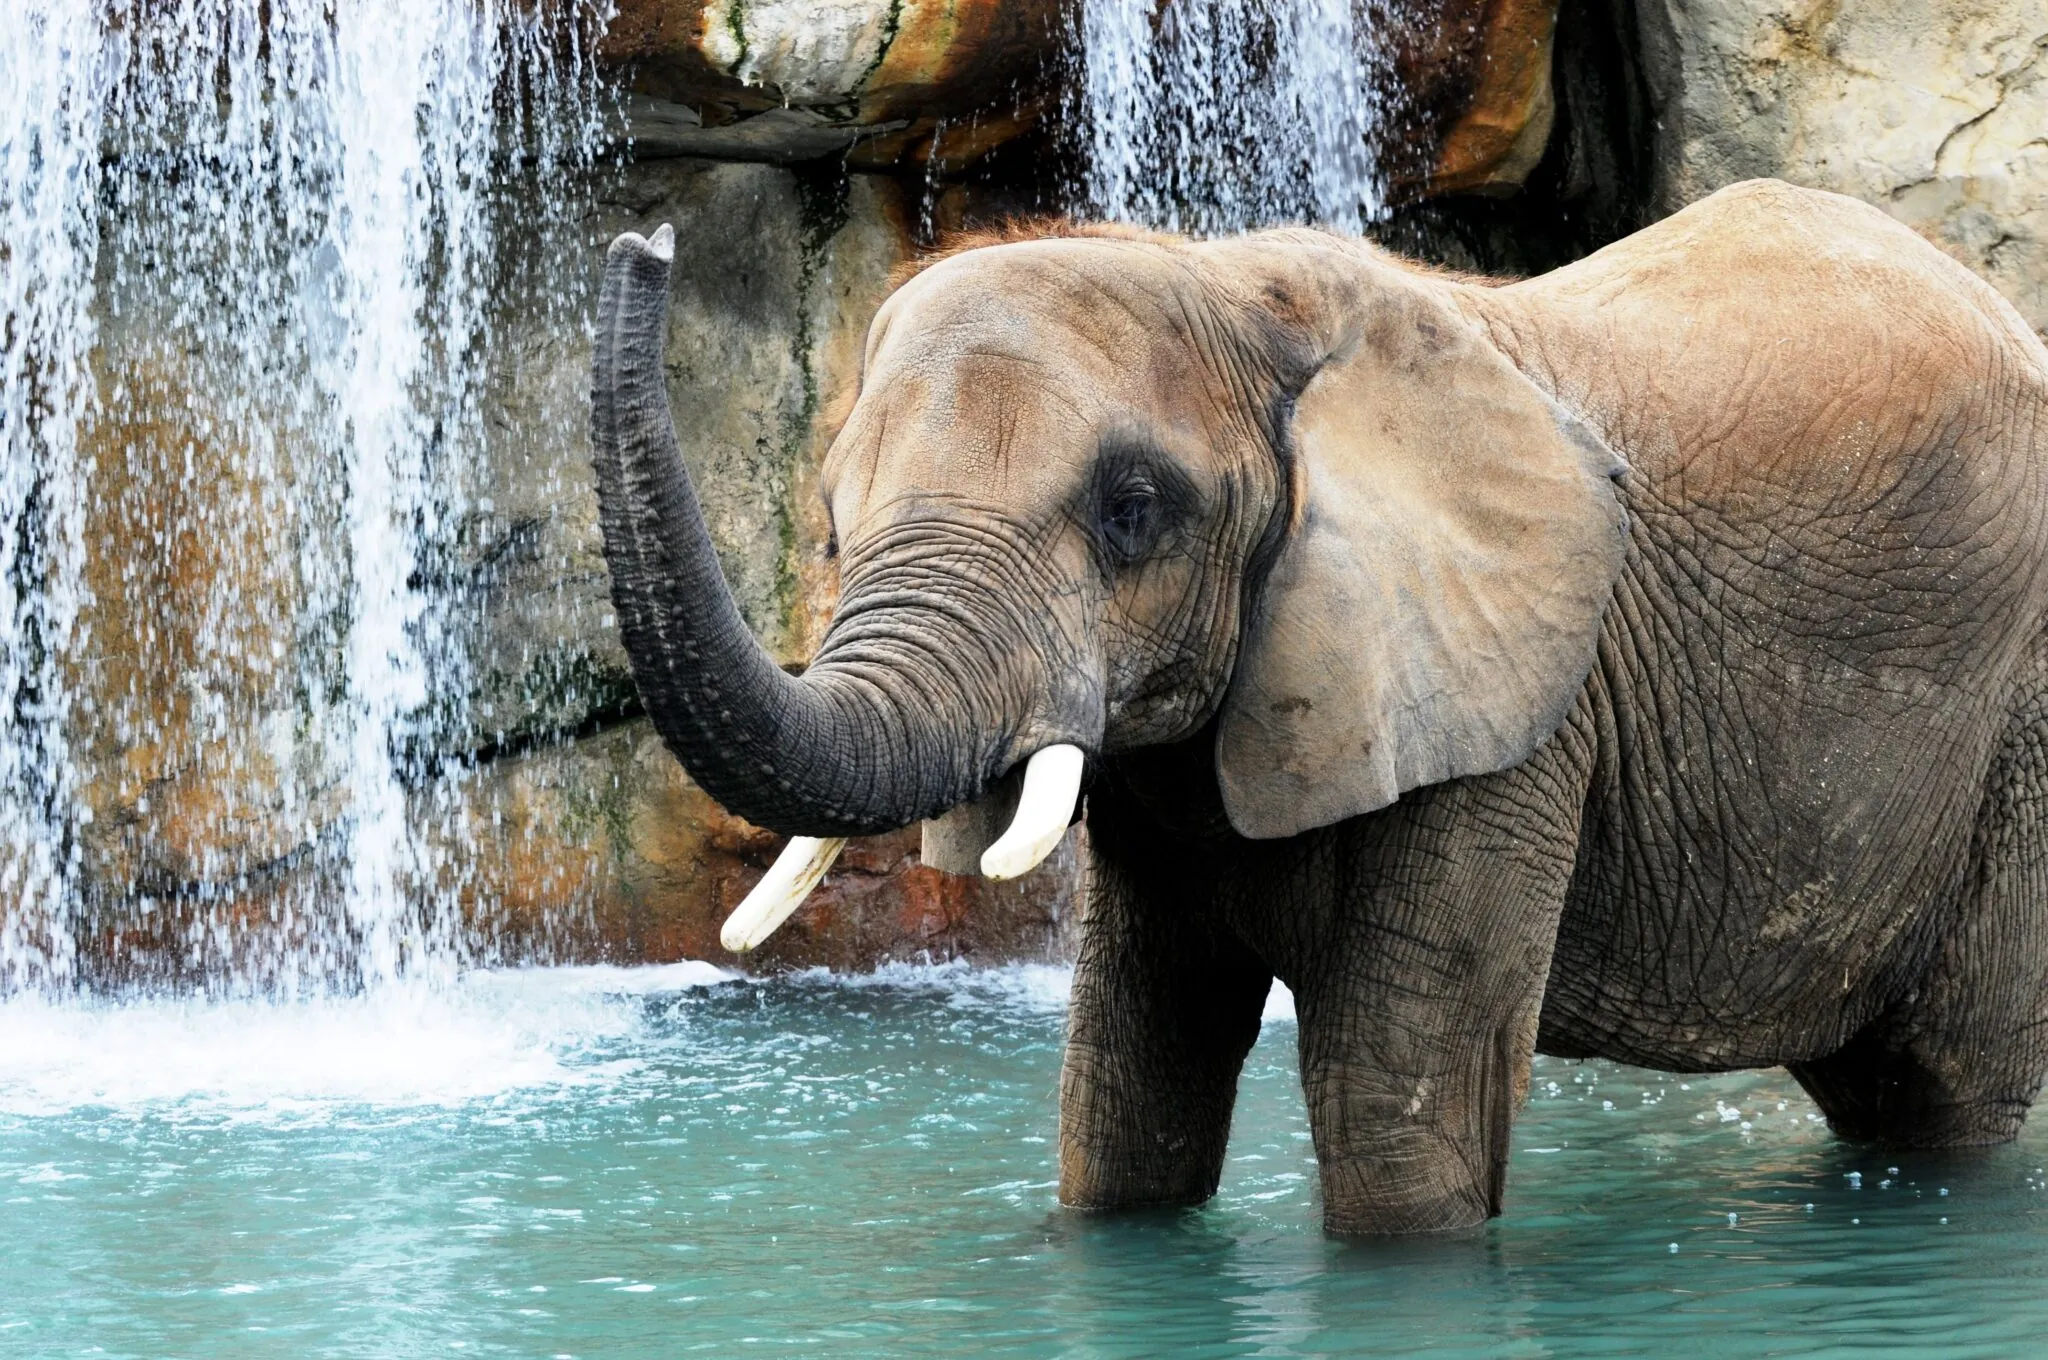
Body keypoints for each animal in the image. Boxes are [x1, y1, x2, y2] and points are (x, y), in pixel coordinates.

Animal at [593, 178, 2048, 1228]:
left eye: (1132, 510)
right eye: (834, 527)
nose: (643, 237)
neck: (1238, 288)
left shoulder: (1513, 712)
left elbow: (1393, 1109)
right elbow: (1127, 1075)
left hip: (2021, 728)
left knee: (1949, 1084)